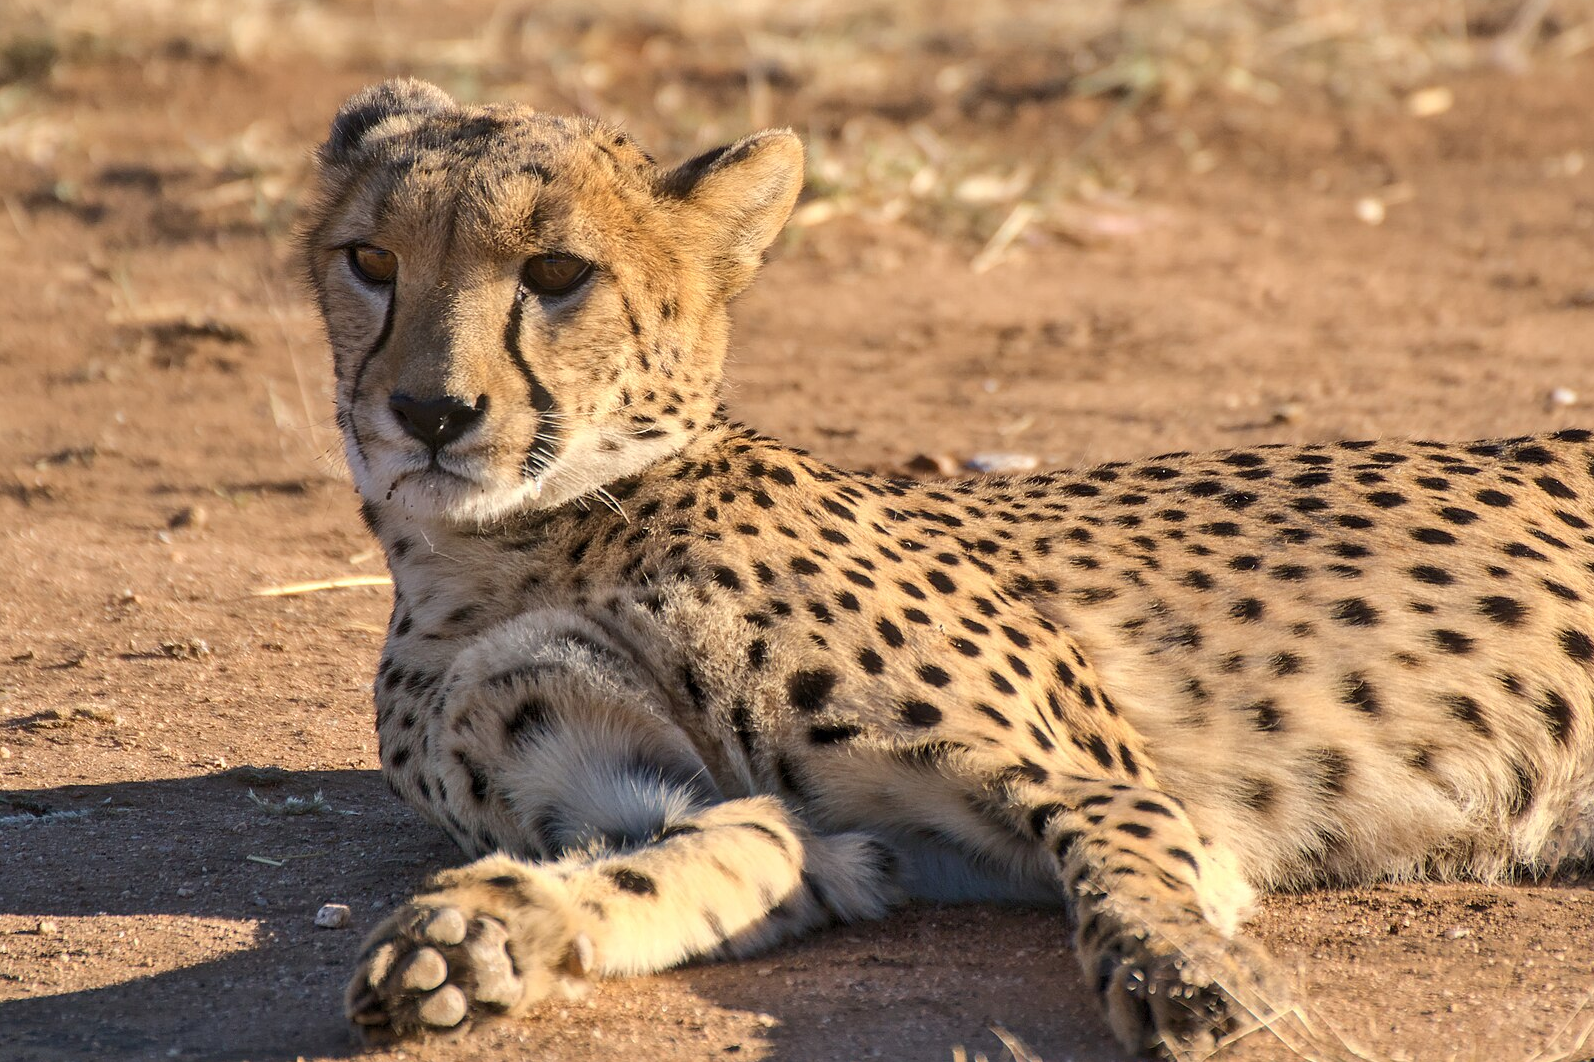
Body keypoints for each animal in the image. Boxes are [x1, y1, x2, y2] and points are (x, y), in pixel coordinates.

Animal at [298, 79, 1594, 1059]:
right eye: (371, 259)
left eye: (558, 274)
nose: (430, 413)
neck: (512, 549)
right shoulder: (806, 836)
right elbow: (681, 865)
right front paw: (475, 939)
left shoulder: (1100, 784)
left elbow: (1127, 873)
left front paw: (1186, 976)